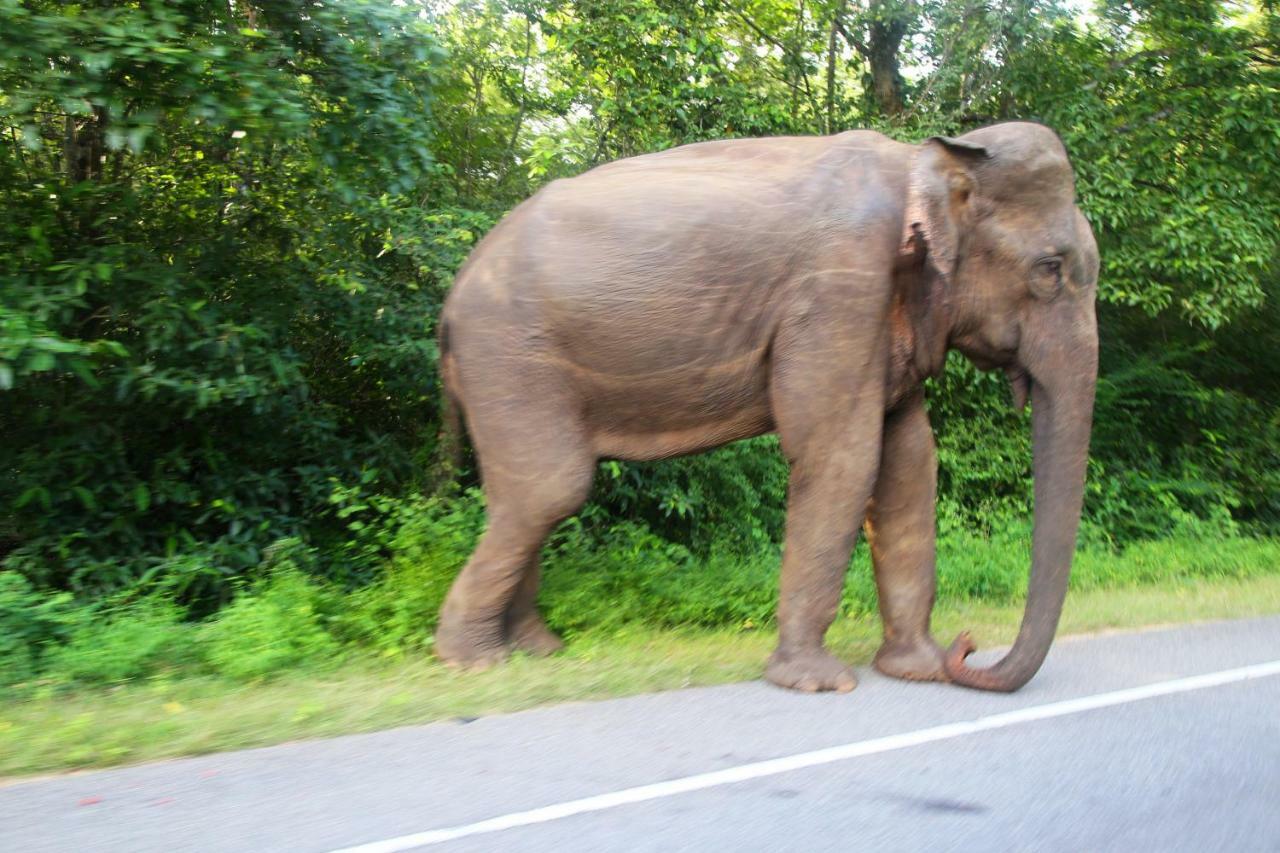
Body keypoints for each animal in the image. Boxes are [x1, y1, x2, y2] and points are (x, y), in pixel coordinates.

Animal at [435, 119, 1095, 691]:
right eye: (1049, 269)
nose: (968, 648)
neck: (922, 159)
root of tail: (454, 296)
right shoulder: (840, 287)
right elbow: (842, 456)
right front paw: (819, 684)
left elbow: (910, 461)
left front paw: (920, 670)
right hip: (510, 356)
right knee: (551, 490)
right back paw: (474, 662)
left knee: (524, 498)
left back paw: (535, 651)